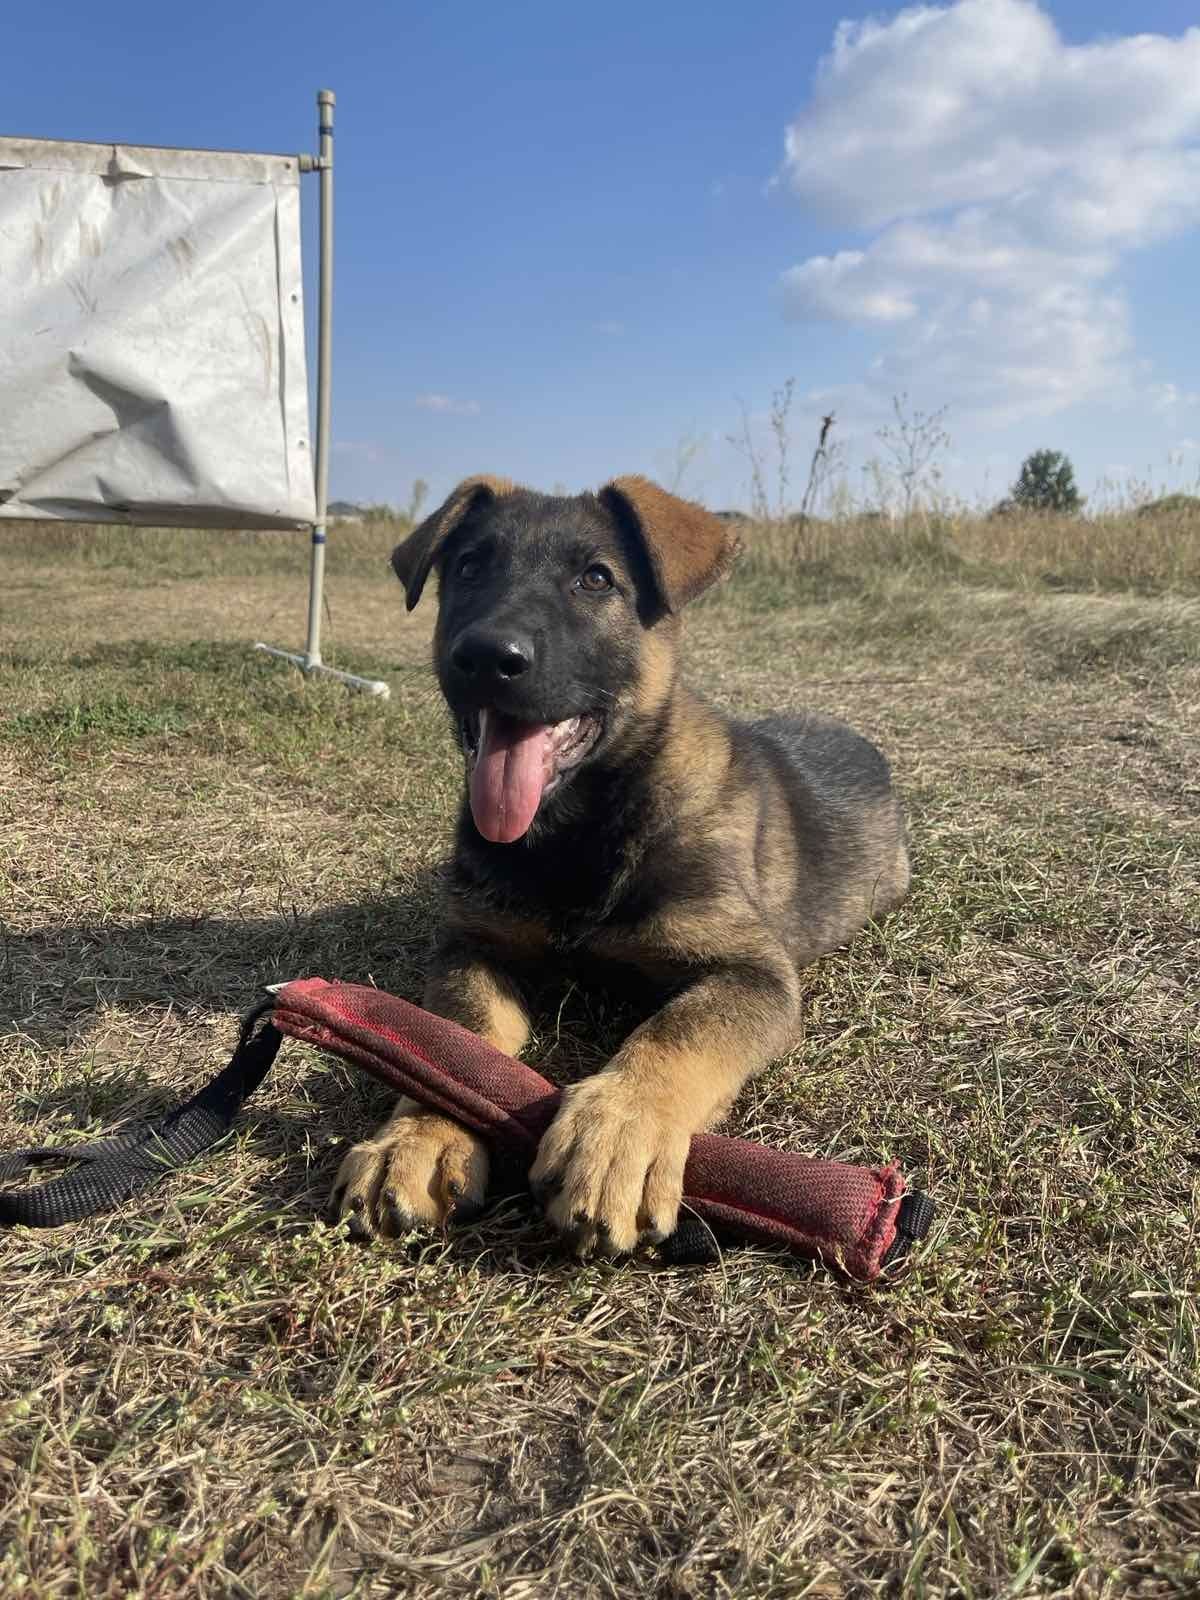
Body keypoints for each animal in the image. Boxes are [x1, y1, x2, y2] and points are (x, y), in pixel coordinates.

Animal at [329, 470, 908, 1248]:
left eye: (596, 579)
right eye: (470, 568)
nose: (487, 656)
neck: (582, 830)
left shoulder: (751, 972)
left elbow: (672, 1035)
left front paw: (617, 1134)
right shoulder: (475, 945)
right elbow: (453, 1040)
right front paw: (417, 1136)